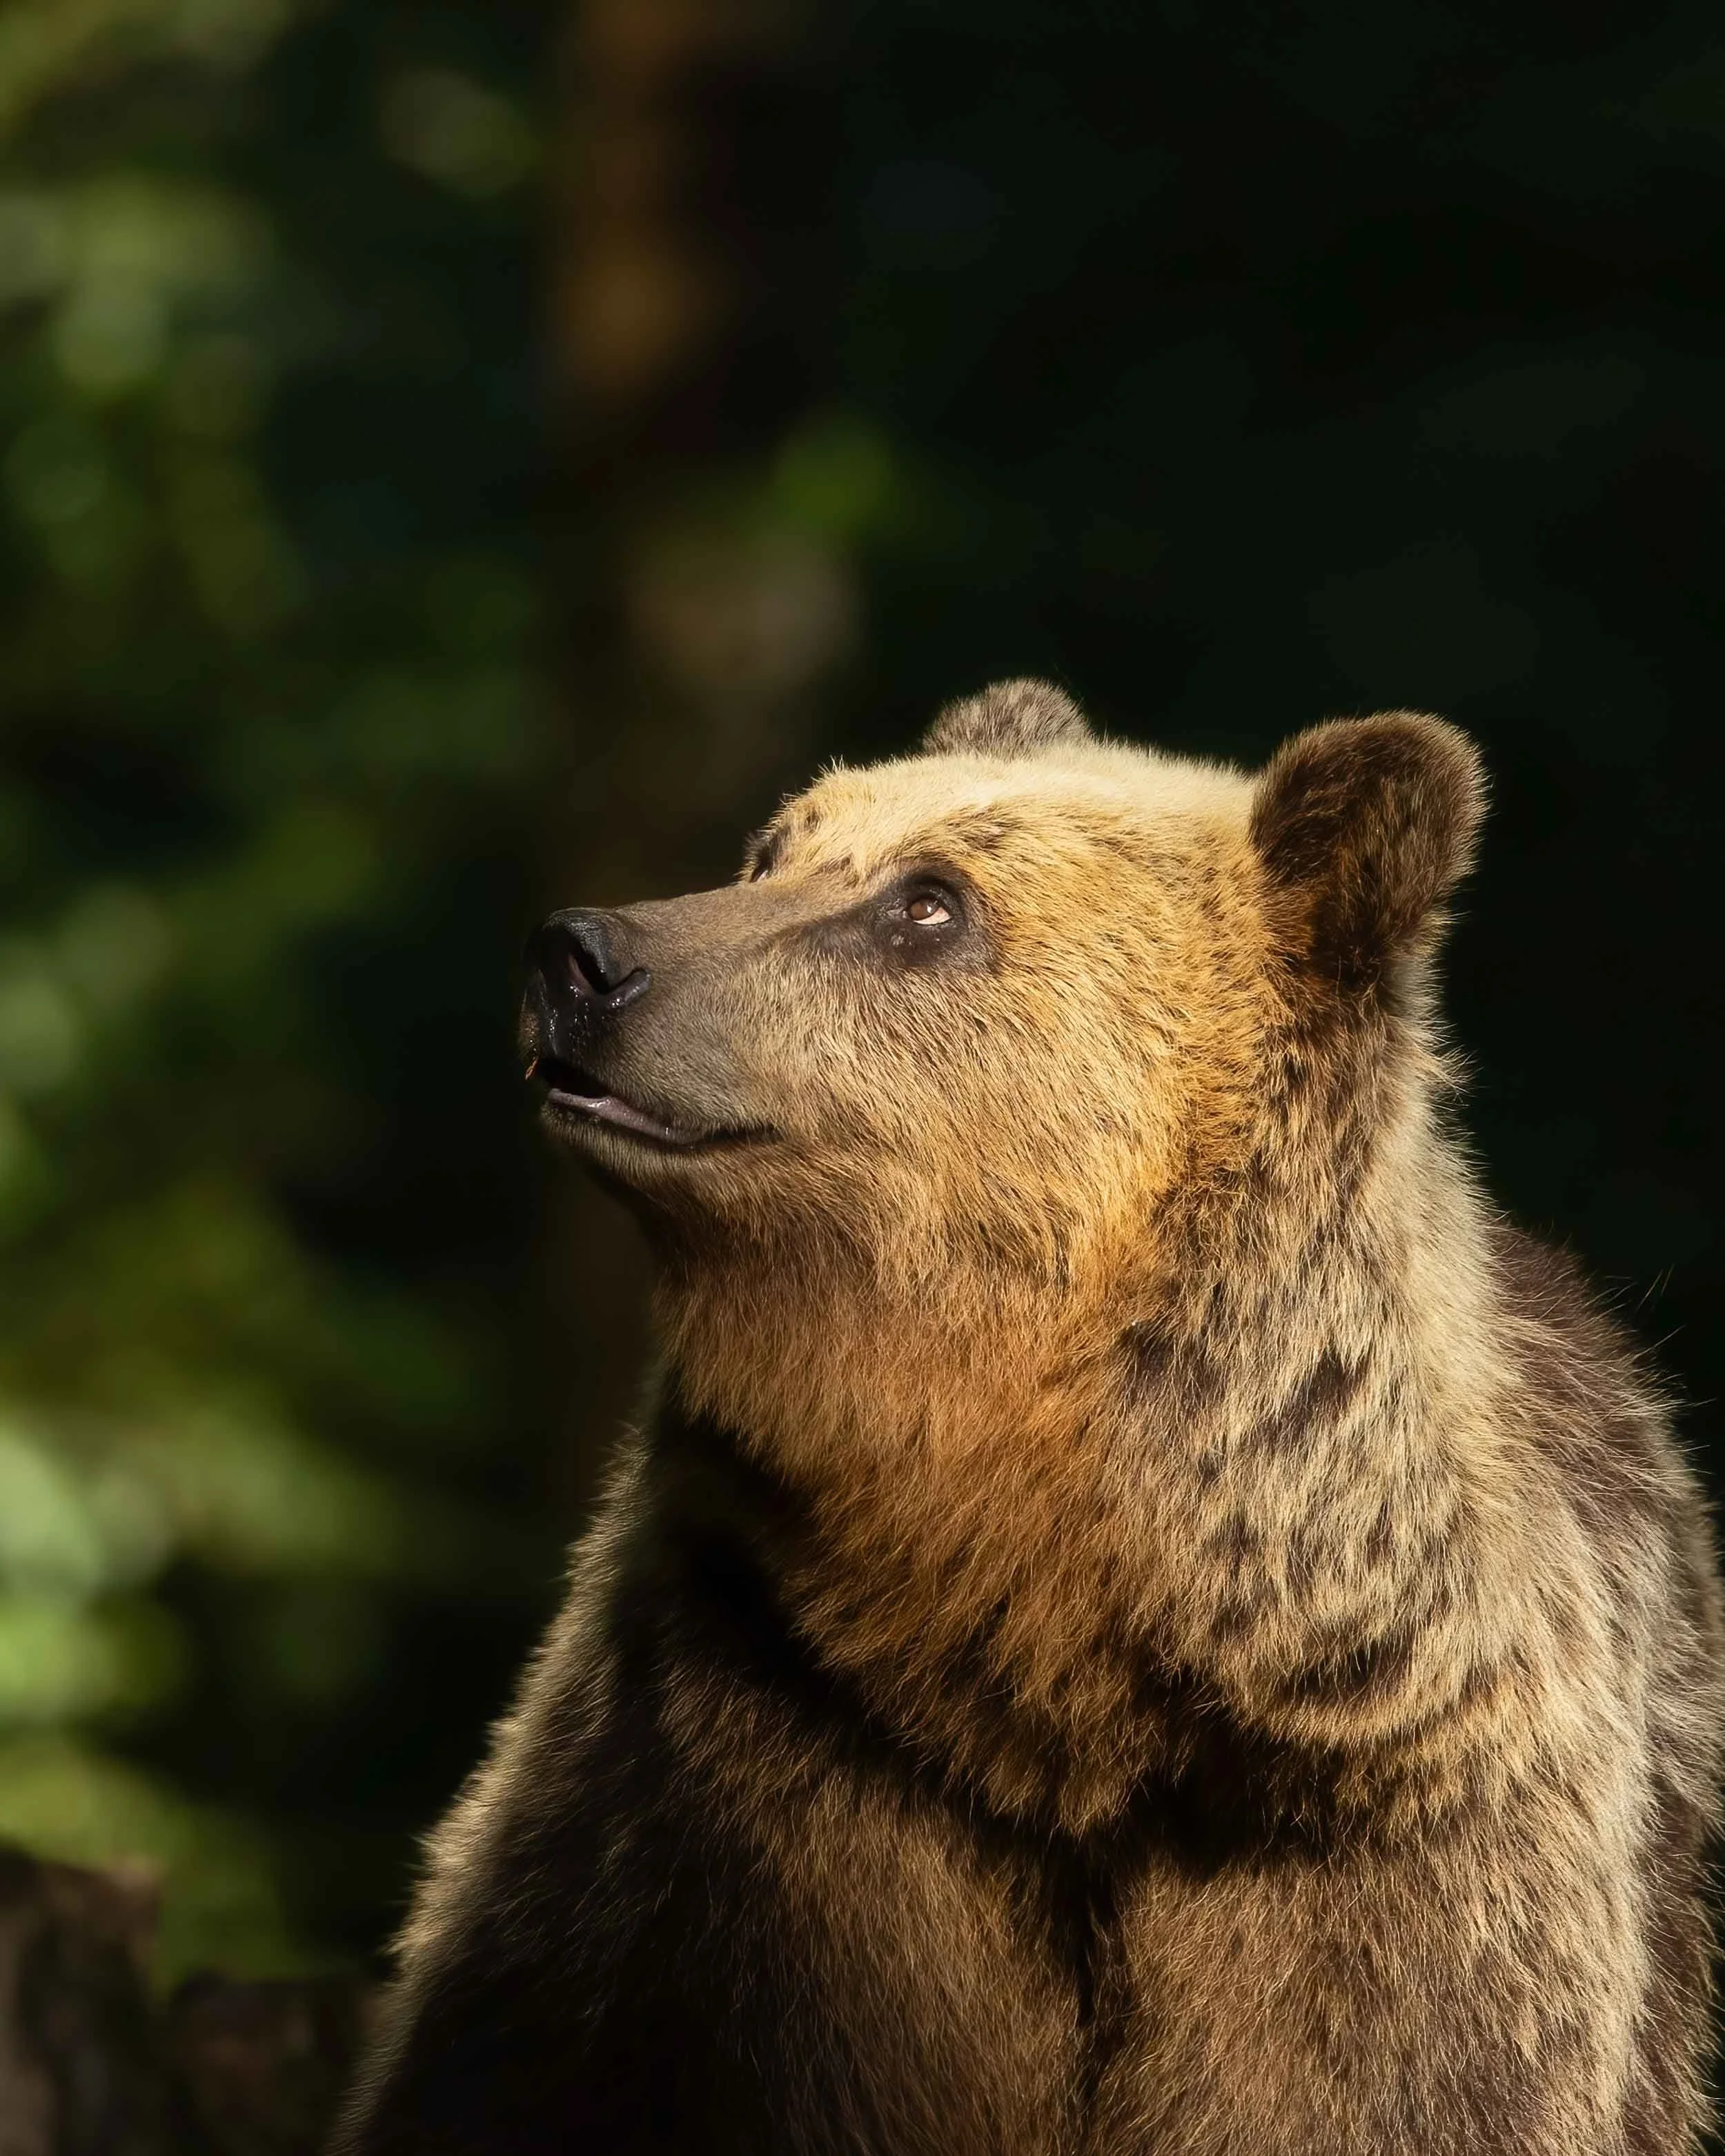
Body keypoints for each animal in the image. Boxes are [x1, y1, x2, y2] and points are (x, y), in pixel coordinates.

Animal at [333, 683, 1723, 2155]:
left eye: (928, 903)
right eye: (777, 847)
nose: (584, 956)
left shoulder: (1391, 1844)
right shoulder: (755, 1758)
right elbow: (556, 2046)